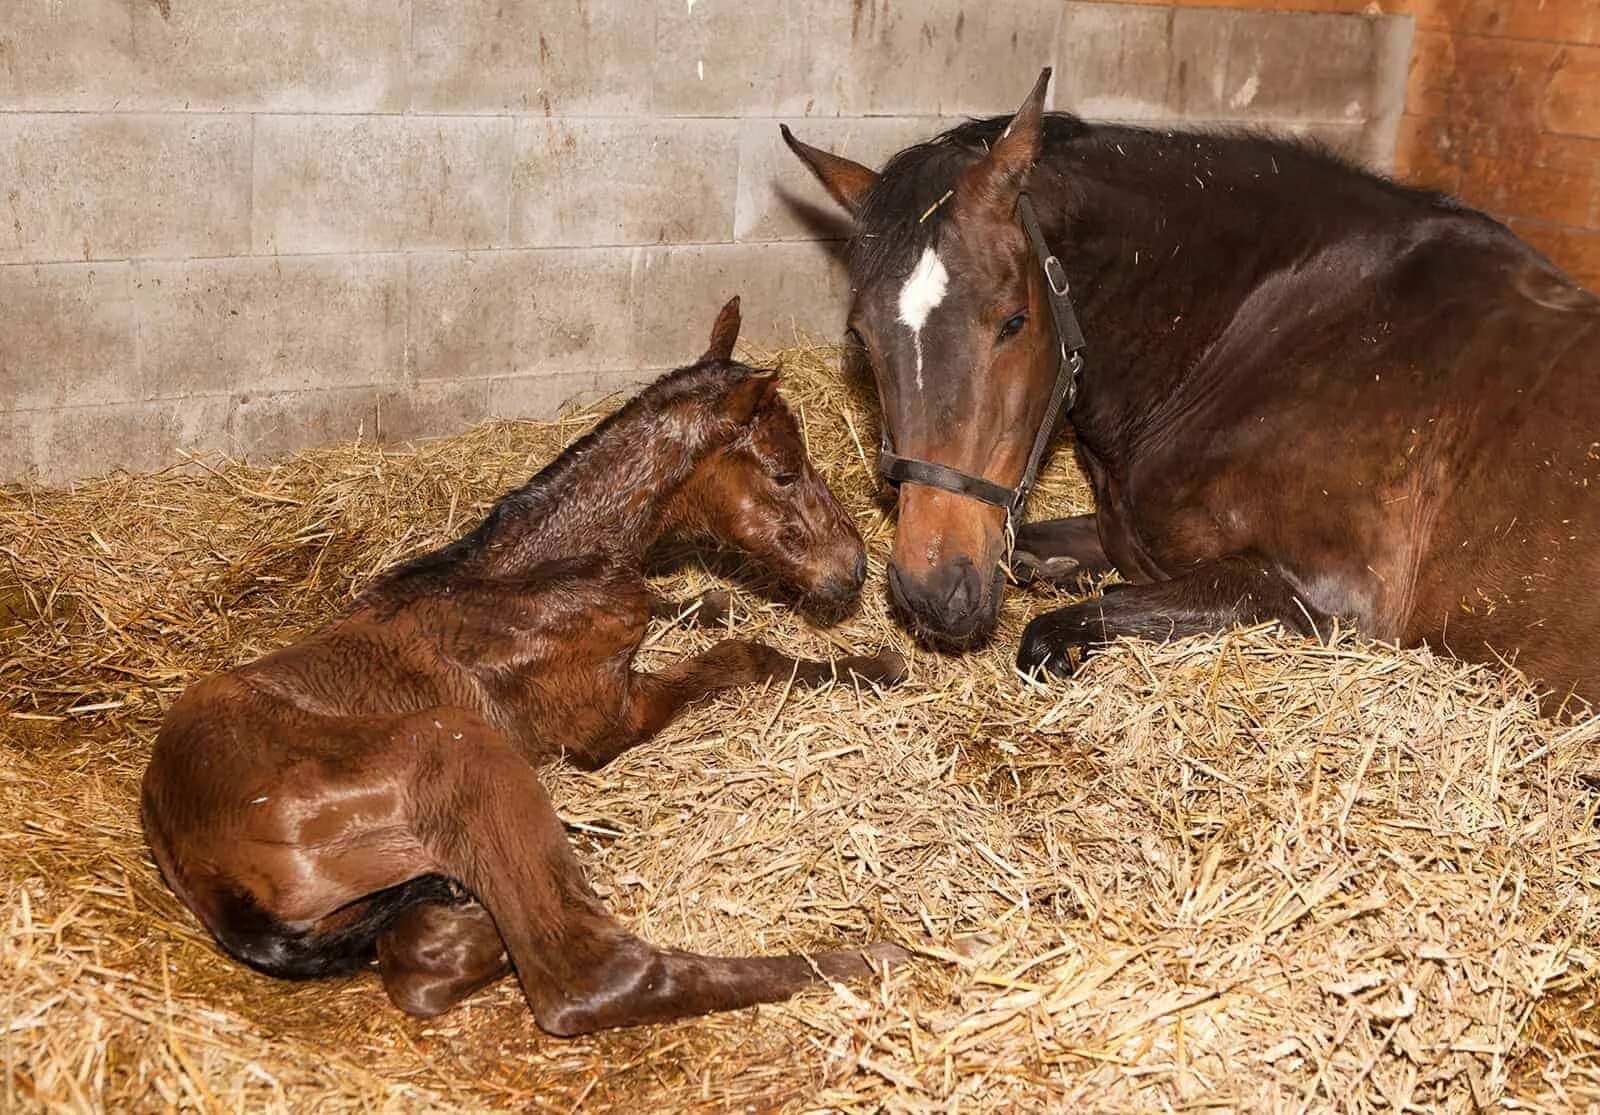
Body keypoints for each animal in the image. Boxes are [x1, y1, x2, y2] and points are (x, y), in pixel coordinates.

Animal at [147, 297, 915, 1036]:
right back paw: (867, 957)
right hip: (458, 747)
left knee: (423, 951)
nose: (854, 569)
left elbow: (685, 609)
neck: (537, 578)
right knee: (585, 975)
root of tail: (195, 858)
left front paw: (712, 600)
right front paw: (874, 663)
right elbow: (742, 656)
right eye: (783, 472)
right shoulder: (609, 721)